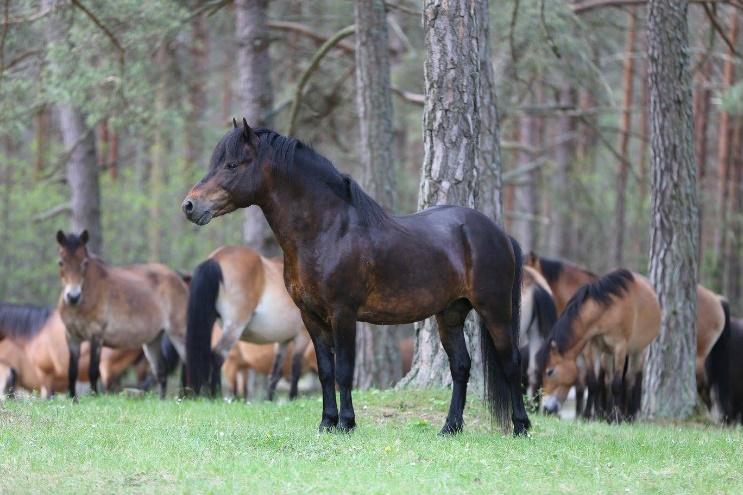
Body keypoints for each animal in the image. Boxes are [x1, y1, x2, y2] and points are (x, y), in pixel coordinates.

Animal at [55, 230, 189, 400]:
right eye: (61, 262)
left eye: (84, 262)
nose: (73, 297)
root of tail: (179, 280)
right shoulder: (71, 336)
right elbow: (72, 371)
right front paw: (73, 398)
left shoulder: (96, 336)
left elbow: (93, 370)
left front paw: (94, 397)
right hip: (153, 340)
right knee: (161, 371)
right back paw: (162, 400)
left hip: (178, 333)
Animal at [187, 246, 312, 402]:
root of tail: (216, 258)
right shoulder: (302, 336)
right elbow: (296, 369)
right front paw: (292, 398)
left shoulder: (283, 341)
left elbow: (275, 374)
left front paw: (269, 400)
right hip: (234, 327)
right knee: (217, 356)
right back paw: (216, 395)